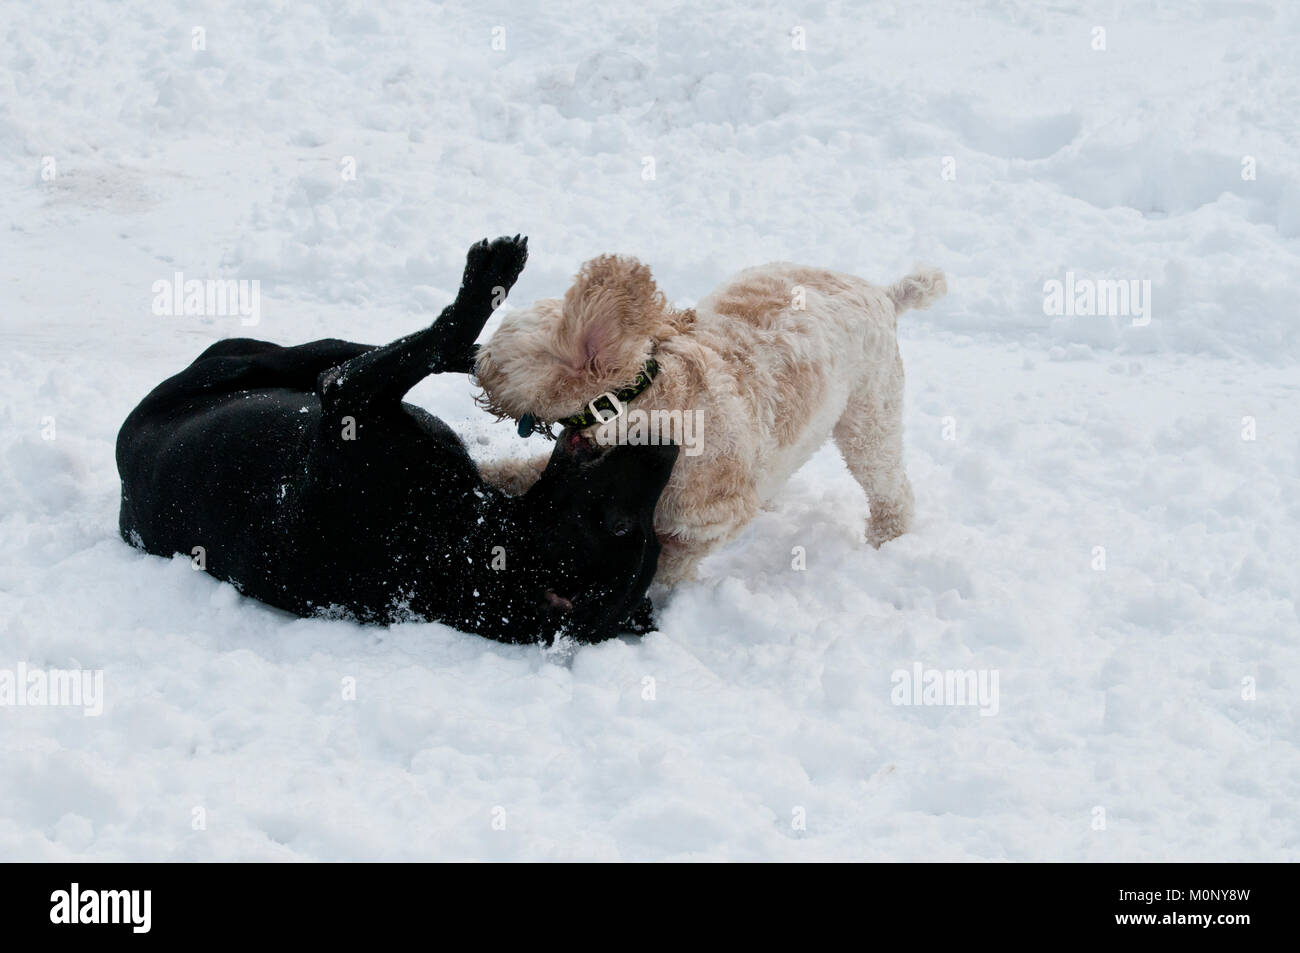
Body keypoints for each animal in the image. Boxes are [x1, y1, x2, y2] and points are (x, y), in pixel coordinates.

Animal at [118, 234, 681, 642]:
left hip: (253, 362)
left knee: (352, 355)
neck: (463, 545)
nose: (670, 445)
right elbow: (432, 346)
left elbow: (431, 341)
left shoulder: (349, 396)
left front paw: (486, 281)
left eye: (624, 526)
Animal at [478, 256, 946, 582]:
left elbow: (671, 564)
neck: (643, 405)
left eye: (500, 351)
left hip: (870, 415)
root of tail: (884, 292)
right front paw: (486, 472)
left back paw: (888, 537)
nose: (474, 358)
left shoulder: (709, 522)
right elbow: (522, 472)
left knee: (888, 483)